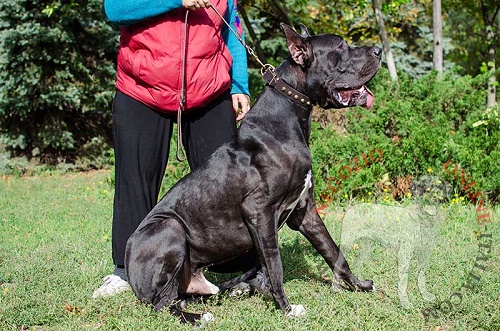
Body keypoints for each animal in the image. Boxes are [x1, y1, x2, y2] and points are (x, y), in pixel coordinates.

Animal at [127, 24, 380, 326]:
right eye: (340, 47)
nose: (378, 50)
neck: (290, 114)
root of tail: (132, 279)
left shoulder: (305, 211)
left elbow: (333, 251)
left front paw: (358, 285)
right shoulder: (259, 211)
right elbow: (274, 264)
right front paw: (286, 308)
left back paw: (236, 289)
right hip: (170, 228)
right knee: (162, 304)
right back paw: (200, 317)